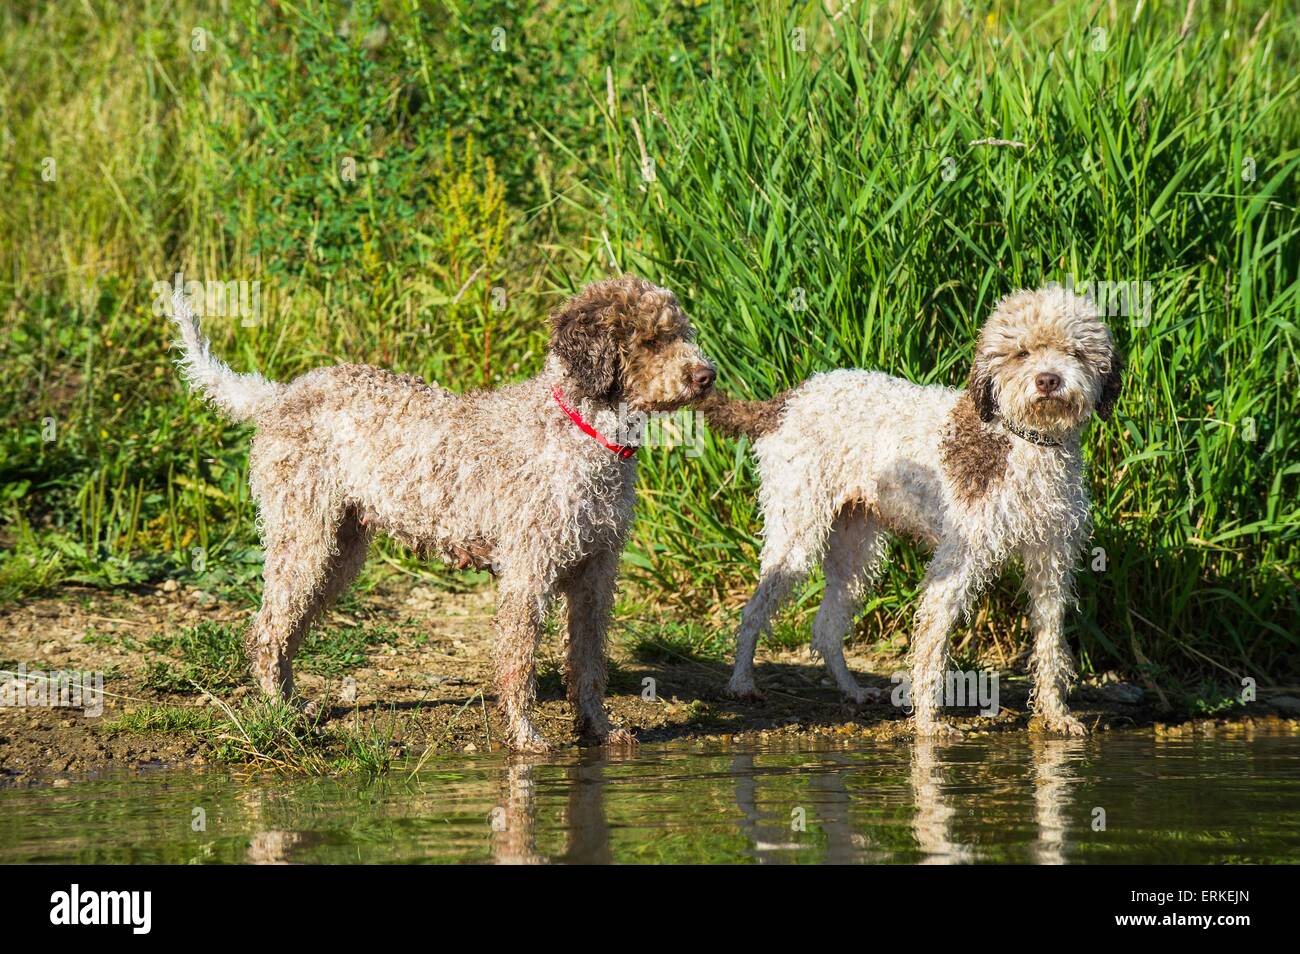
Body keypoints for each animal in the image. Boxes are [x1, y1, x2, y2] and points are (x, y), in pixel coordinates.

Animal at [169, 276, 717, 753]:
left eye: (682, 333)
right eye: (649, 340)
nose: (706, 376)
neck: (580, 432)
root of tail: (279, 395)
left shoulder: (596, 573)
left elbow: (588, 663)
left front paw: (599, 729)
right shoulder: (529, 572)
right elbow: (518, 662)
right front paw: (525, 737)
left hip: (338, 550)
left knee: (284, 630)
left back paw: (292, 704)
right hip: (303, 536)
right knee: (266, 631)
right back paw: (277, 711)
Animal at [707, 287, 1123, 738]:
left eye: (1075, 352)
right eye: (1021, 352)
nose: (1048, 380)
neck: (1024, 442)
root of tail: (786, 401)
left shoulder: (1051, 561)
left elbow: (1050, 644)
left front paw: (1056, 714)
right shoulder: (957, 562)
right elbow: (931, 644)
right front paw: (928, 723)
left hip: (856, 551)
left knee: (826, 628)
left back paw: (852, 690)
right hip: (796, 534)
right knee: (754, 612)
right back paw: (741, 683)